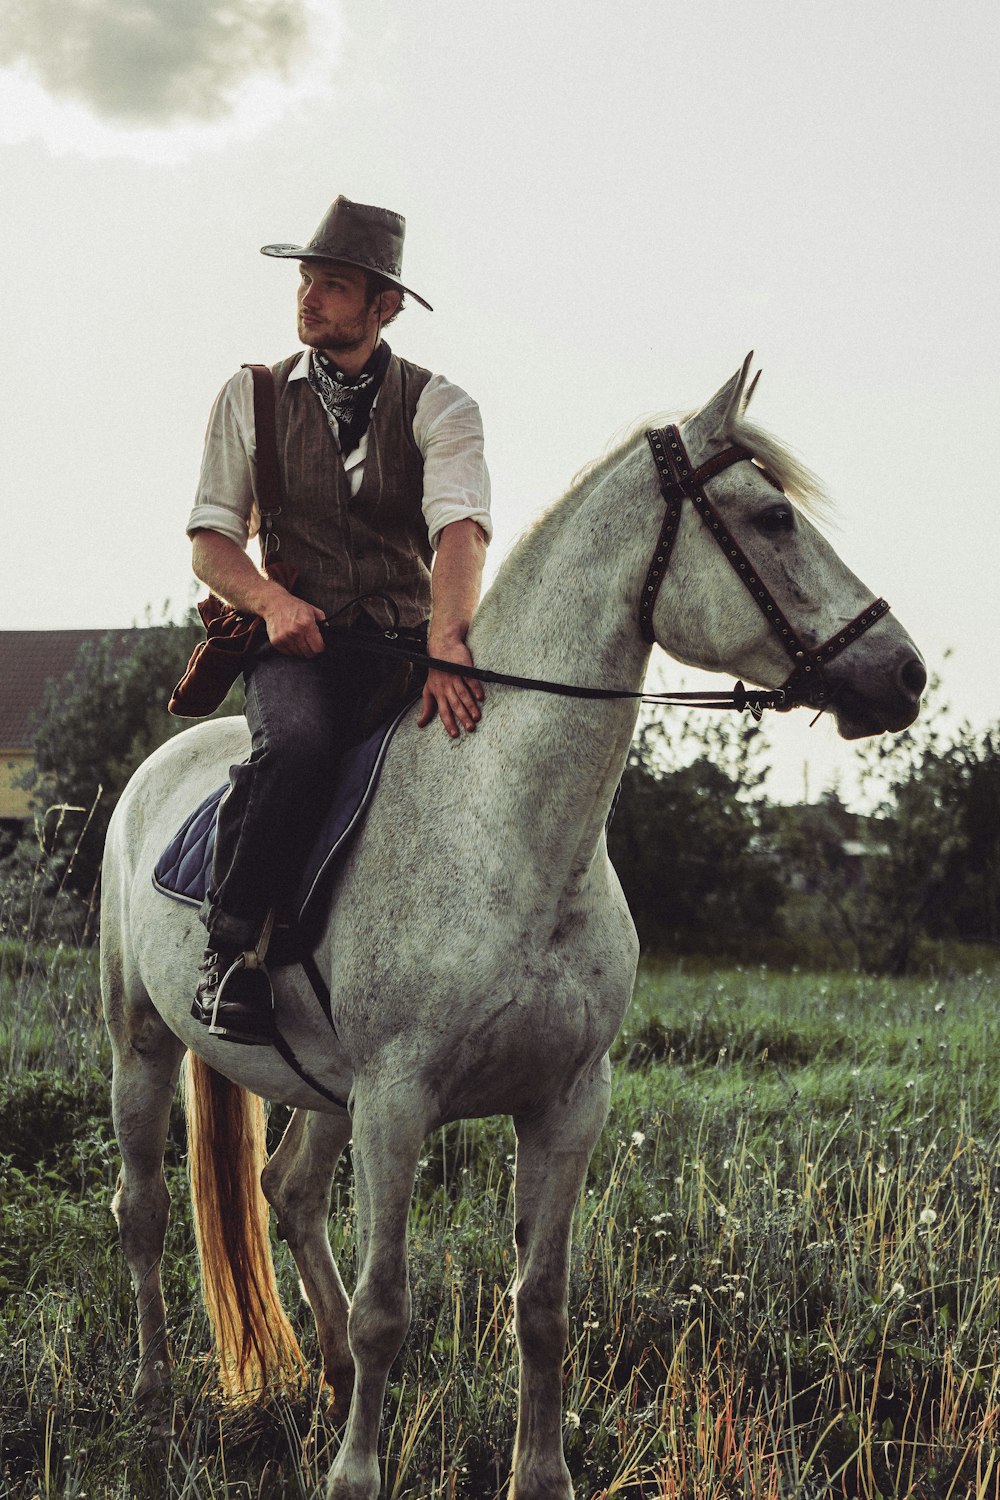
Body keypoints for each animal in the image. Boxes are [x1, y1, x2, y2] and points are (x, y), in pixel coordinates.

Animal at [99, 363, 923, 1500]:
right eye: (771, 517)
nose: (904, 674)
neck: (512, 831)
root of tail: (158, 767)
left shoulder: (566, 1103)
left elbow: (542, 1305)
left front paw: (541, 1475)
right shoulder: (398, 1101)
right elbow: (388, 1304)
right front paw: (357, 1475)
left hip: (323, 1087)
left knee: (289, 1192)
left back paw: (324, 1381)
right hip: (142, 1045)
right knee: (142, 1210)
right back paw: (152, 1393)